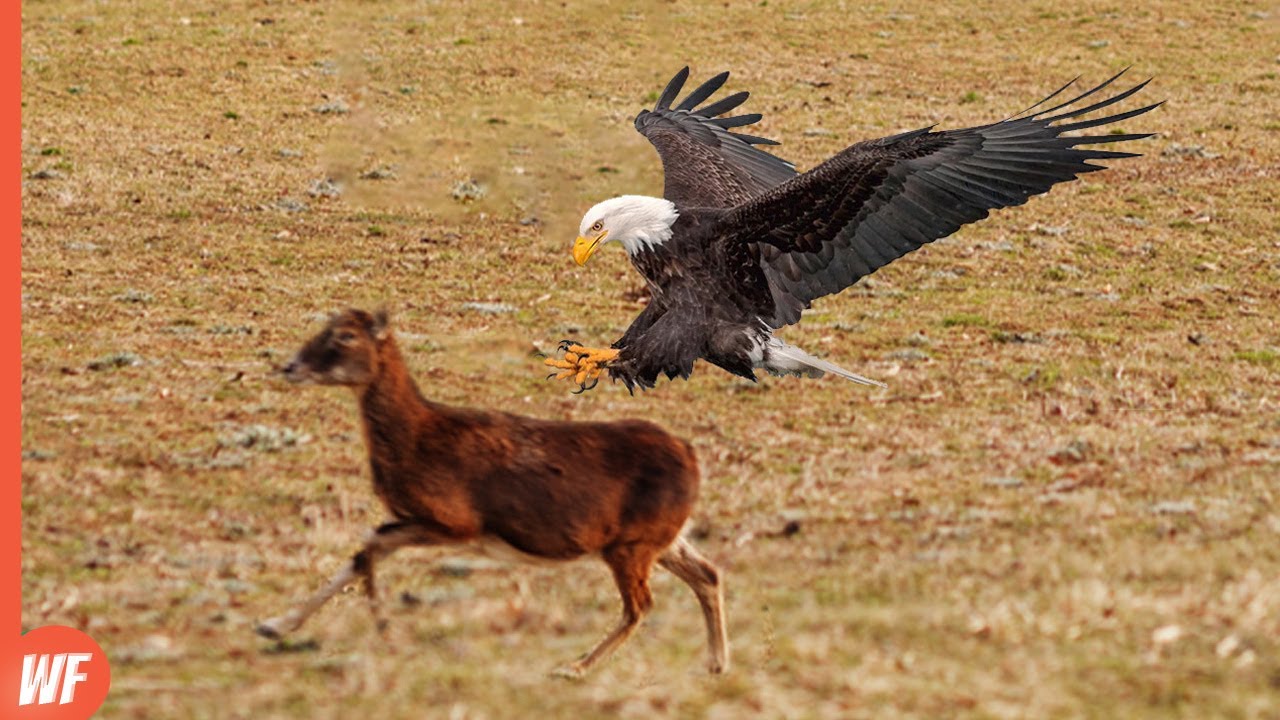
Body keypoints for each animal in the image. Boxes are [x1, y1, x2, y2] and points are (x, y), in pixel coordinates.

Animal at [256, 308, 728, 678]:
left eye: (345, 336)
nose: (291, 366)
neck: (417, 440)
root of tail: (691, 457)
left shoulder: (456, 521)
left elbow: (370, 545)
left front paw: (383, 626)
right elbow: (362, 552)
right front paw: (273, 624)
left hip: (631, 544)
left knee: (641, 604)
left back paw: (574, 667)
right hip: (658, 537)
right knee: (706, 574)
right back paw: (716, 663)